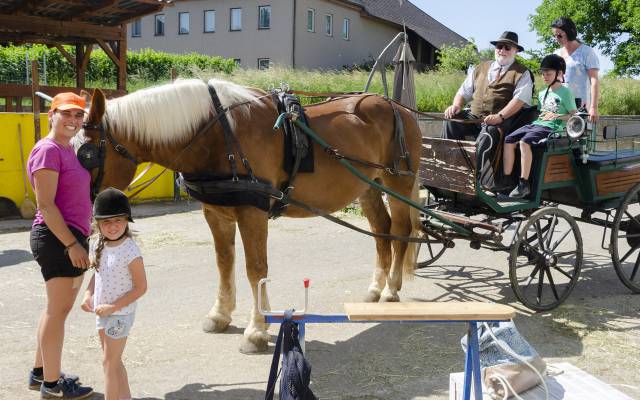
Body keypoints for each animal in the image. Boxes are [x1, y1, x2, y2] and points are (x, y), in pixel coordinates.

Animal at [82, 79, 424, 354]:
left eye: (86, 155)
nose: (92, 217)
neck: (220, 133)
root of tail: (399, 108)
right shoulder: (216, 213)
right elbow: (224, 262)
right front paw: (221, 315)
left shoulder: (252, 213)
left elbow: (255, 268)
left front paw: (257, 330)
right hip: (368, 187)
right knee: (381, 229)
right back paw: (376, 287)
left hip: (397, 184)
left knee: (401, 229)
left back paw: (391, 289)